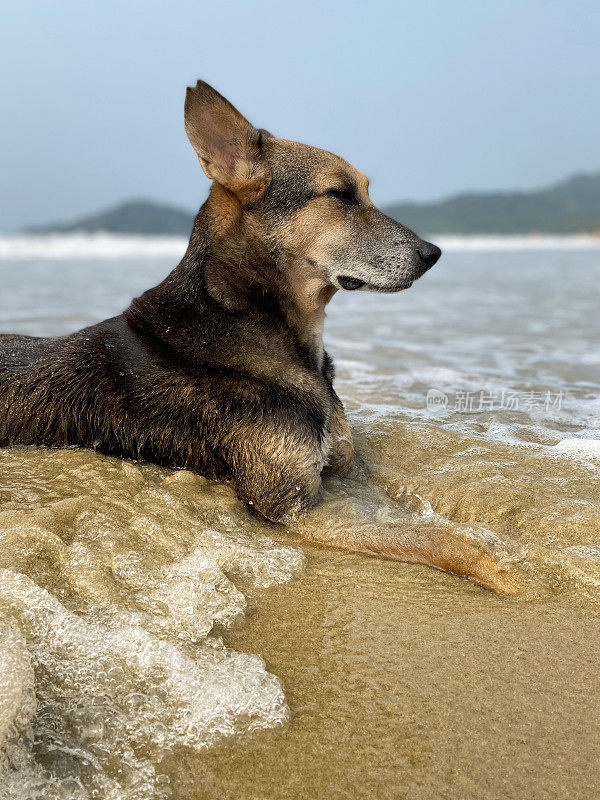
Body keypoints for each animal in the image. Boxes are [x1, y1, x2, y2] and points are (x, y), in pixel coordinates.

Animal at [0, 83, 516, 592]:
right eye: (341, 195)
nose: (434, 253)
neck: (254, 321)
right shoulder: (292, 506)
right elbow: (433, 538)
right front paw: (506, 571)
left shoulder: (347, 470)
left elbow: (411, 516)